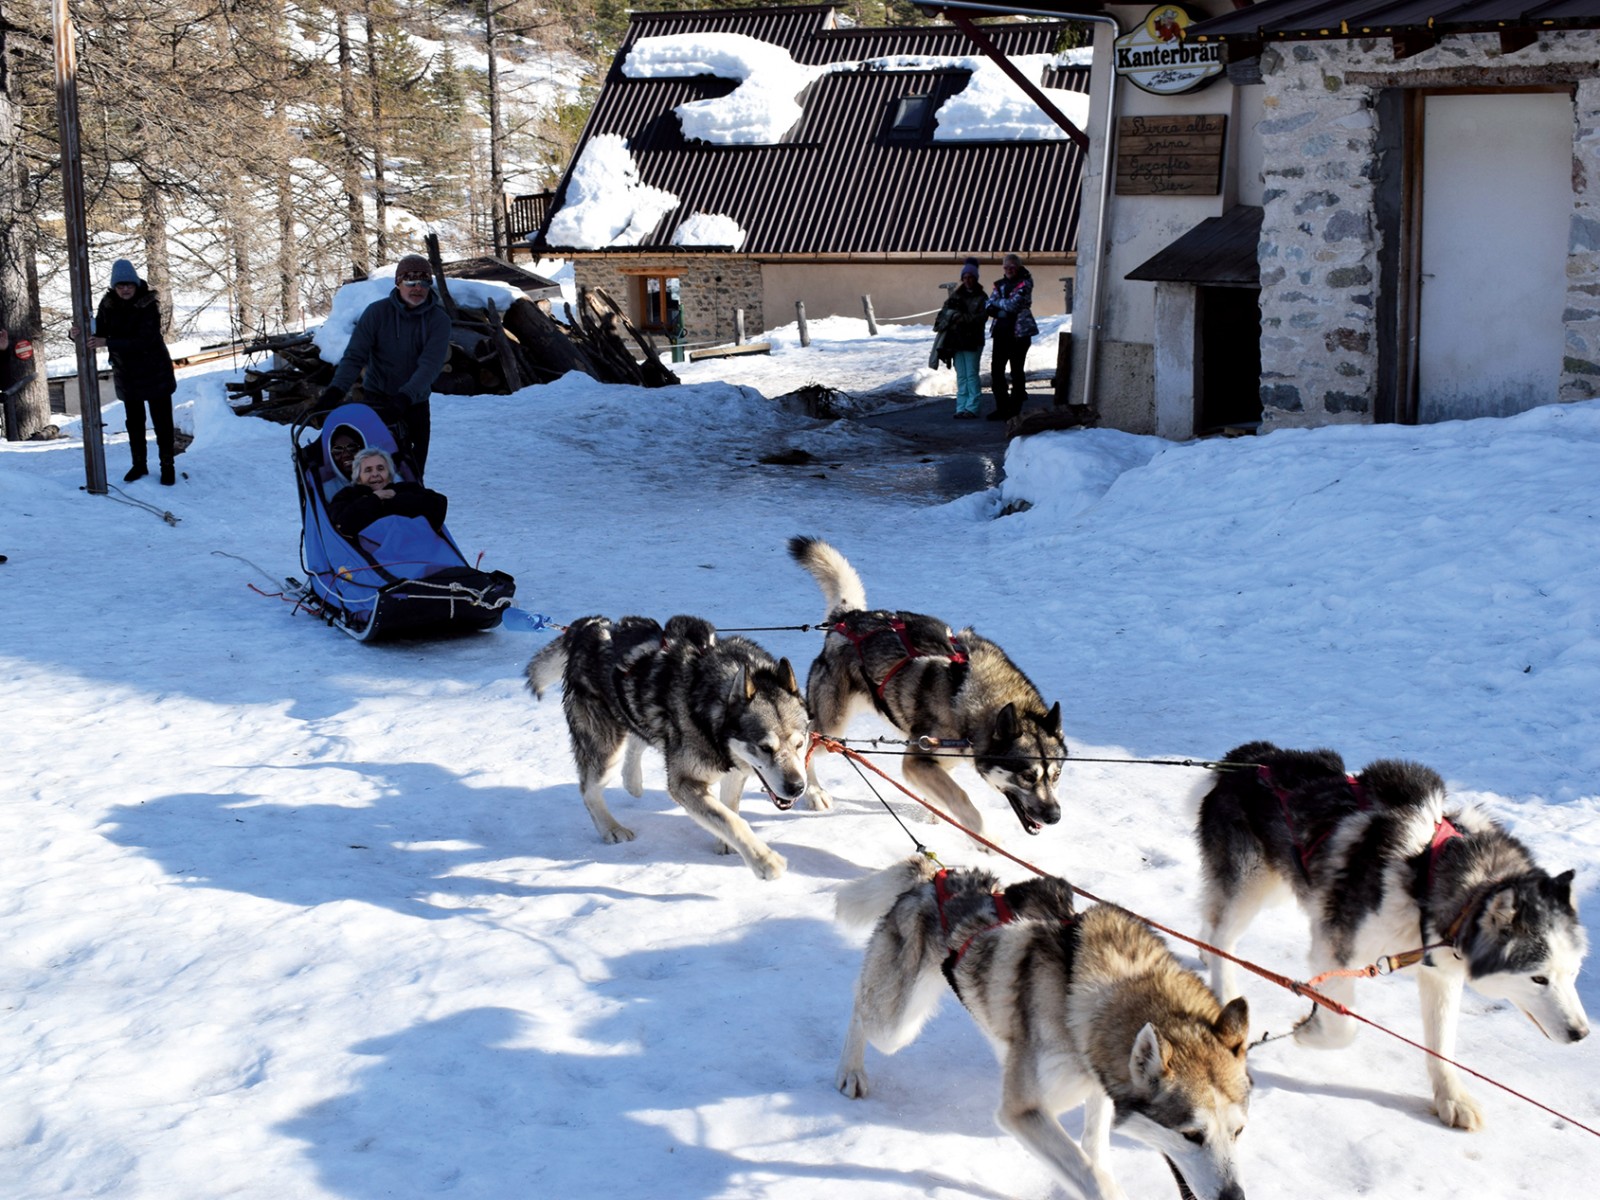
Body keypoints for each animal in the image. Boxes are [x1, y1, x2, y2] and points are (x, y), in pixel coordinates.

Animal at [528, 620, 812, 883]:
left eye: (800, 744)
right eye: (765, 747)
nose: (797, 787)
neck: (710, 711)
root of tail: (587, 626)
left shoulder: (735, 770)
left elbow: (730, 808)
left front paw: (728, 844)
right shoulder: (684, 782)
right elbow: (730, 819)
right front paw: (764, 860)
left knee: (637, 740)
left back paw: (633, 782)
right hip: (606, 751)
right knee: (589, 790)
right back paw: (611, 828)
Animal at [787, 540, 1062, 838]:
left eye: (1057, 775)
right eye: (1027, 776)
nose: (1055, 816)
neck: (963, 689)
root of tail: (848, 618)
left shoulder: (938, 760)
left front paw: (935, 812)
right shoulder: (916, 761)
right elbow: (961, 799)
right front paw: (983, 838)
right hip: (832, 727)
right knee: (807, 745)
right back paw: (813, 792)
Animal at [838, 857, 1248, 1200]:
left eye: (1238, 1131)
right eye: (1191, 1135)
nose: (1235, 1198)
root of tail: (932, 877)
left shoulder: (1098, 1084)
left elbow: (1094, 1149)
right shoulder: (1024, 1111)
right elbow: (1092, 1175)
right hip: (895, 1026)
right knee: (859, 1004)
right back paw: (850, 1071)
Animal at [1203, 742, 1587, 1126]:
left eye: (1573, 973)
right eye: (1538, 978)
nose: (1581, 1033)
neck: (1426, 873)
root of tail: (1252, 757)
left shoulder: (1439, 972)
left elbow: (1441, 1044)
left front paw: (1451, 1097)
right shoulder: (1332, 951)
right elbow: (1344, 1026)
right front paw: (1308, 1031)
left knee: (1211, 920)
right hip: (1250, 889)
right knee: (1224, 938)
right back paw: (1224, 986)